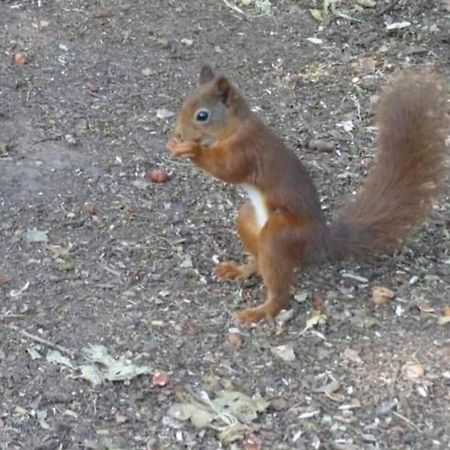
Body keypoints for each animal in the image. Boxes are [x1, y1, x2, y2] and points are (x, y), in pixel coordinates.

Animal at [166, 65, 450, 326]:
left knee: (279, 290)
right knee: (259, 260)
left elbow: (227, 169)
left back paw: (261, 311)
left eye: (202, 115)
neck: (235, 125)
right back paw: (242, 269)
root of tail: (319, 242)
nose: (178, 133)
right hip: (247, 219)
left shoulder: (246, 149)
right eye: (183, 103)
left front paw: (190, 150)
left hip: (279, 235)